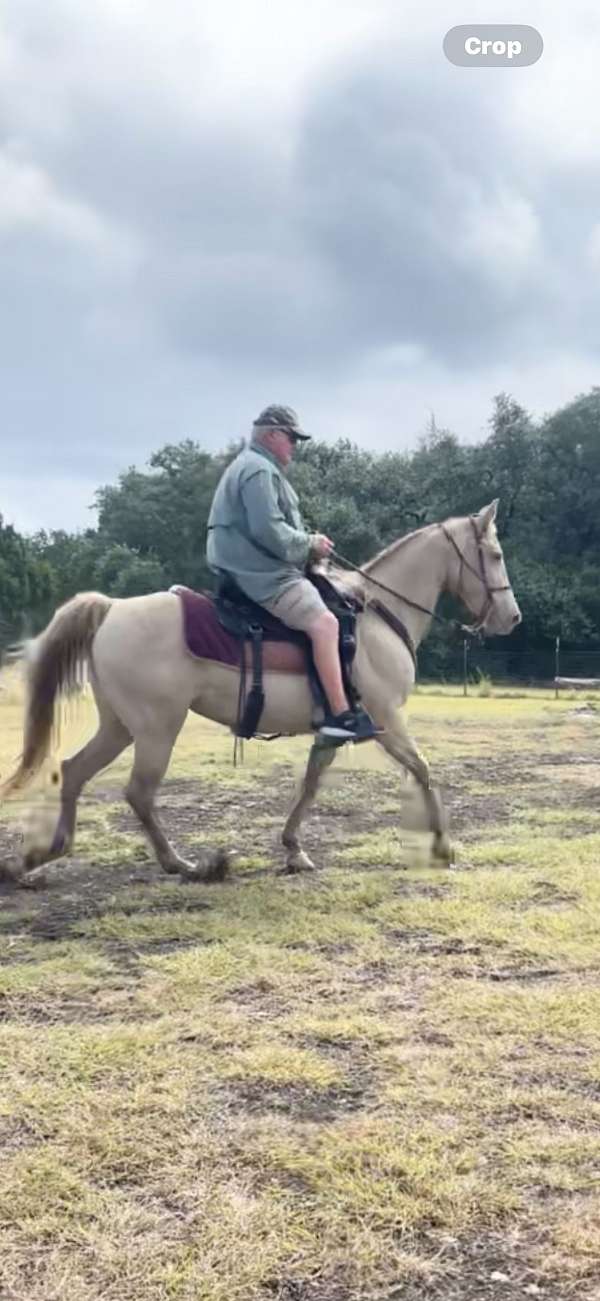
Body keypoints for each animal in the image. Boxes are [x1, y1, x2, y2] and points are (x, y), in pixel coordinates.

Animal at [1, 496, 518, 884]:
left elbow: (309, 785)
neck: (375, 614)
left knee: (74, 771)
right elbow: (424, 770)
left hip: (119, 726)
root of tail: (112, 609)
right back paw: (185, 864)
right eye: (494, 556)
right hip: (156, 729)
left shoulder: (332, 730)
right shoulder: (387, 719)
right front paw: (444, 846)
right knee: (139, 792)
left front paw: (294, 850)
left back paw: (42, 855)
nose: (512, 618)